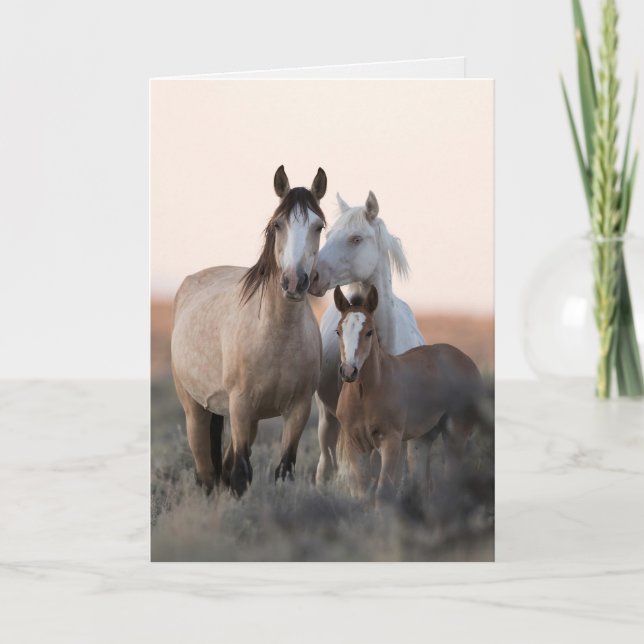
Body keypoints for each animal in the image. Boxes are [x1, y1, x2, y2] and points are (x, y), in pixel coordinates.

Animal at [171, 166, 327, 497]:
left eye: (318, 226)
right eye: (277, 224)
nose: (294, 282)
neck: (277, 334)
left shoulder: (298, 410)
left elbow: (283, 471)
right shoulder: (240, 406)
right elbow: (241, 474)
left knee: (223, 468)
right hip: (196, 410)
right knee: (207, 474)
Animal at [333, 286, 483, 506]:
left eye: (369, 332)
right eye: (338, 331)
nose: (348, 371)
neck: (365, 395)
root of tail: (467, 360)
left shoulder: (391, 441)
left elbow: (383, 491)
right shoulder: (356, 443)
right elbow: (362, 493)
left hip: (456, 433)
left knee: (451, 481)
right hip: (421, 440)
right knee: (423, 485)